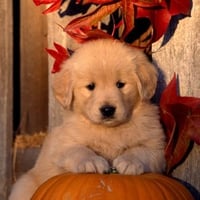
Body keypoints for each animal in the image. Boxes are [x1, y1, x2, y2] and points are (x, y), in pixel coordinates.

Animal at [9, 38, 166, 199]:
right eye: (90, 86)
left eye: (120, 84)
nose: (108, 110)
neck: (108, 129)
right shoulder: (63, 145)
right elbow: (78, 149)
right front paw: (92, 161)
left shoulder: (156, 148)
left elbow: (140, 150)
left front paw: (129, 162)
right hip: (24, 185)